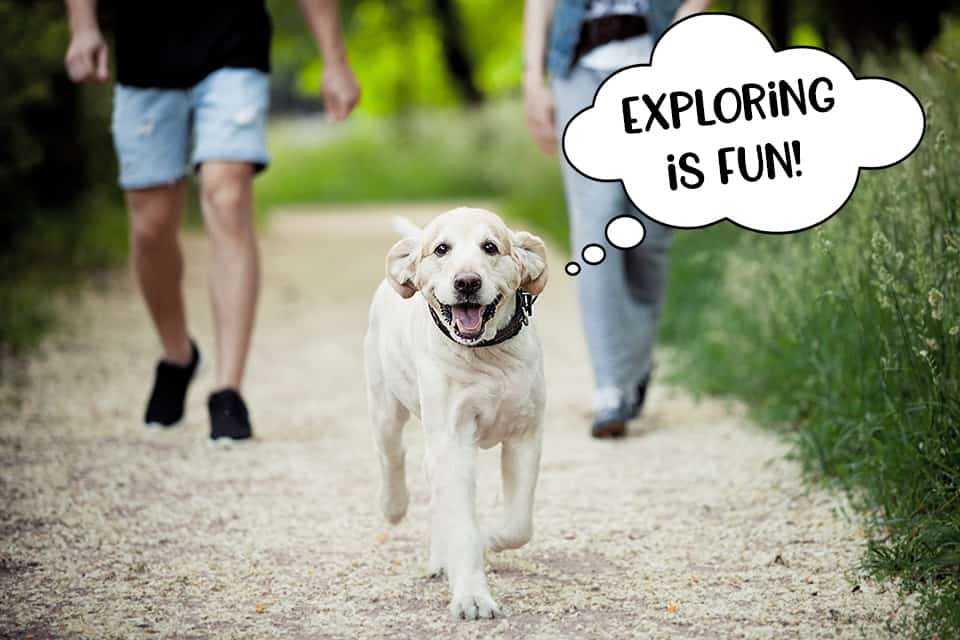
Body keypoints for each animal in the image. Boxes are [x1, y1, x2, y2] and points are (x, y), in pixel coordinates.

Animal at [364, 208, 548, 616]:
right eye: (441, 249)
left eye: (490, 247)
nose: (466, 282)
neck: (488, 355)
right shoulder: (454, 439)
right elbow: (463, 528)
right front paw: (472, 598)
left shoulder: (524, 436)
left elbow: (520, 524)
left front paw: (490, 539)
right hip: (385, 405)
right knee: (391, 454)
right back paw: (393, 505)